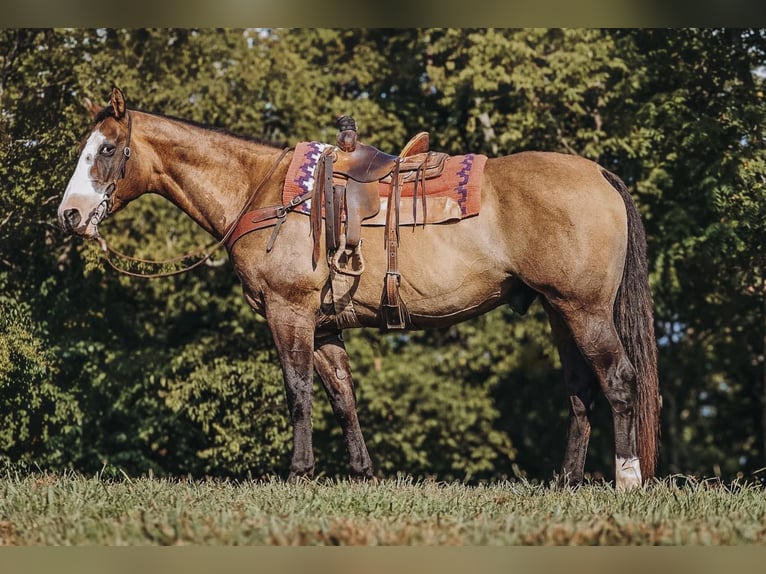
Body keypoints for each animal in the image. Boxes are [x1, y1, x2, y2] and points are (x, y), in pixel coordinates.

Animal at [58, 86, 660, 490]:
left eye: (106, 150)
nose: (70, 215)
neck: (263, 192)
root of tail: (601, 175)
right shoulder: (324, 324)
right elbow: (342, 396)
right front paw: (362, 473)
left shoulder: (290, 312)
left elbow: (298, 391)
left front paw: (299, 472)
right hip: (561, 313)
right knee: (580, 390)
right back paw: (567, 479)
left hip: (585, 311)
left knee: (619, 380)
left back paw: (627, 479)